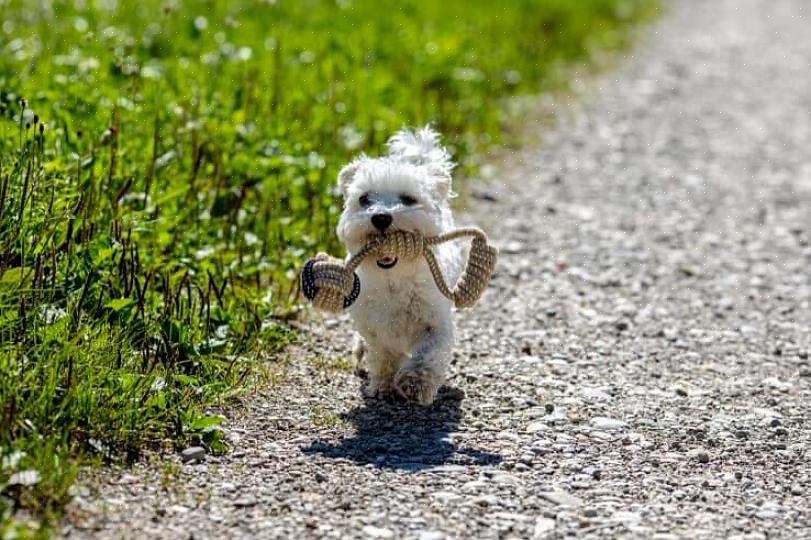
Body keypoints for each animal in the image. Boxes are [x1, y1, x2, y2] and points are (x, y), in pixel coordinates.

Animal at [334, 126, 464, 404]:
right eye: (364, 199)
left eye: (408, 198)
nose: (381, 217)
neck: (394, 278)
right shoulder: (376, 327)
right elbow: (383, 355)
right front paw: (384, 386)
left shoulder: (436, 322)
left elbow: (428, 354)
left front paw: (416, 383)